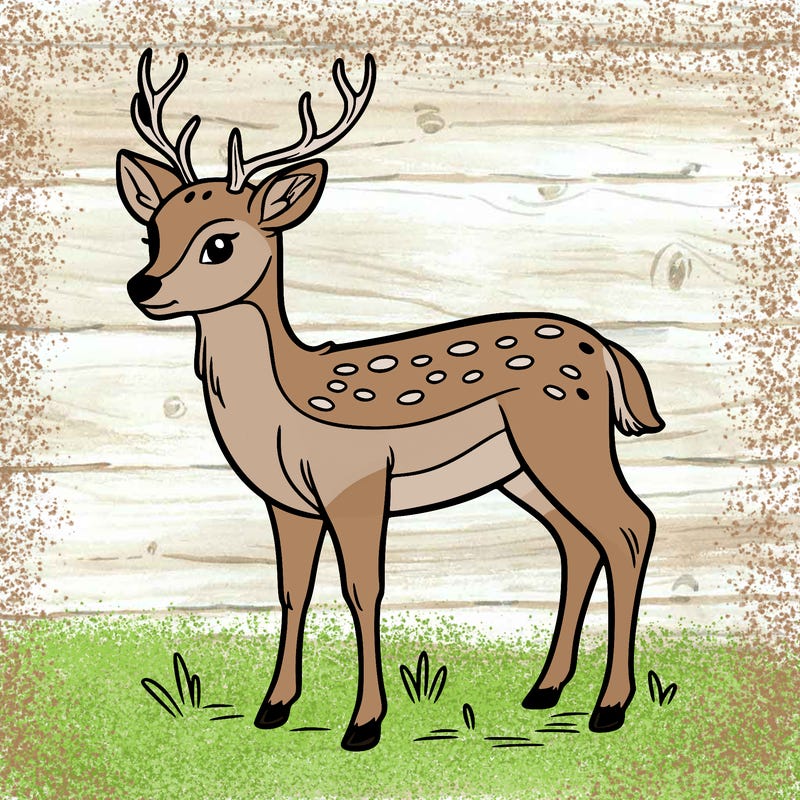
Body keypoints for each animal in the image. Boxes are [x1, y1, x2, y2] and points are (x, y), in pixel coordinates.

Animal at [117, 48, 665, 752]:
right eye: (151, 234)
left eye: (220, 242)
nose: (143, 287)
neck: (282, 410)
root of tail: (606, 350)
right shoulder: (287, 503)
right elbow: (291, 590)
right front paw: (275, 707)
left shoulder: (357, 480)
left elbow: (362, 589)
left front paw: (364, 724)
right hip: (519, 468)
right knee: (579, 540)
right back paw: (543, 690)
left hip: (565, 437)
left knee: (631, 527)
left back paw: (609, 706)